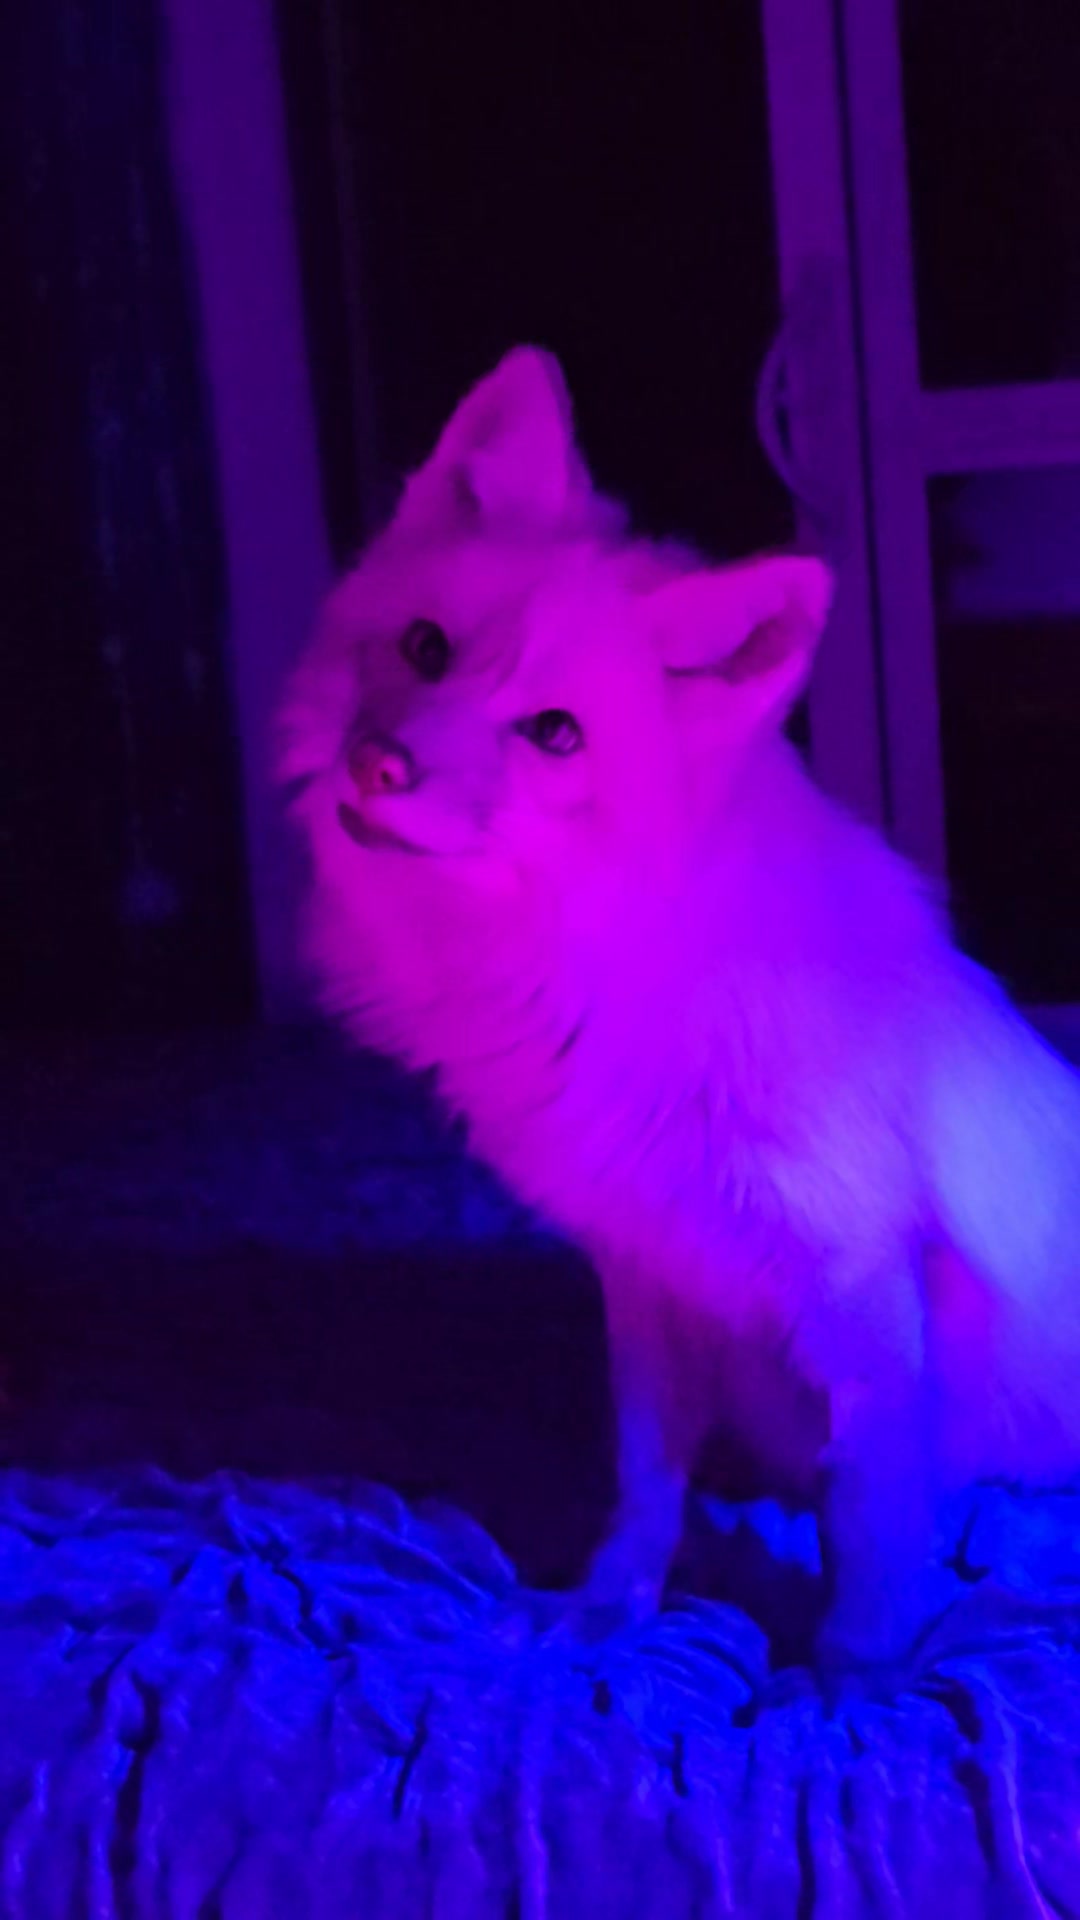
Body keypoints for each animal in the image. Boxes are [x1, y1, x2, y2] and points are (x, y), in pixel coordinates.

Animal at [279, 346, 1080, 1678]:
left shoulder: (861, 1275)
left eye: (555, 733)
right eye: (426, 647)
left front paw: (852, 1673)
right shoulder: (650, 1267)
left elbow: (867, 1508)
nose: (379, 768)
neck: (600, 974)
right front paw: (609, 1608)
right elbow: (648, 1484)